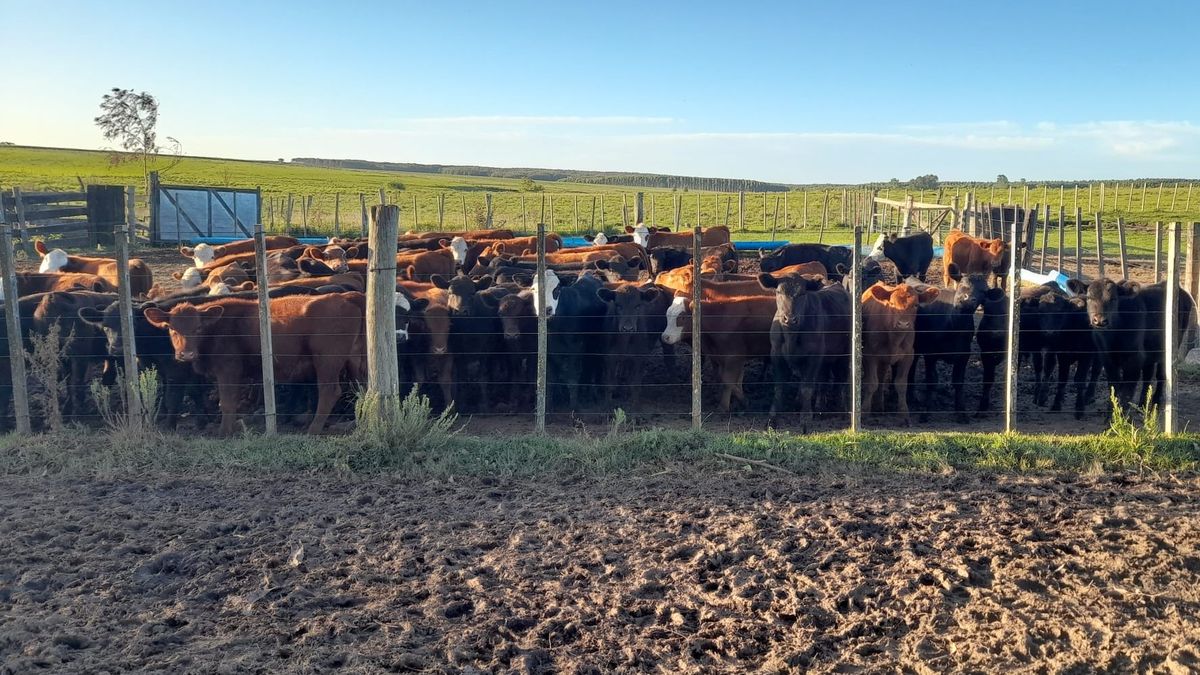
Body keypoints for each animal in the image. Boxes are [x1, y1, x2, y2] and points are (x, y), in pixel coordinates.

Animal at [757, 274, 850, 429]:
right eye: (778, 292)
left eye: (802, 294)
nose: (790, 319)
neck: (791, 336)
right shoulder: (776, 354)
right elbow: (779, 388)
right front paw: (772, 418)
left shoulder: (814, 357)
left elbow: (807, 387)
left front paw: (806, 417)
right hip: (825, 360)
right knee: (823, 380)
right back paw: (819, 408)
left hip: (844, 354)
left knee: (841, 379)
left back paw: (843, 409)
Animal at [861, 282, 938, 425]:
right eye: (892, 303)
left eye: (916, 305)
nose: (903, 324)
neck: (894, 339)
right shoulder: (869, 355)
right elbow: (871, 383)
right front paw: (864, 412)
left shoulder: (908, 356)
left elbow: (901, 384)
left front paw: (903, 414)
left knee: (881, 378)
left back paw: (879, 406)